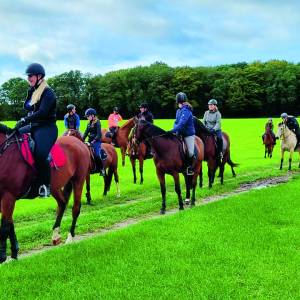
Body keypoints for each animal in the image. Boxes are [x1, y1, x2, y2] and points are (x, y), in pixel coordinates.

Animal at [0, 130, 90, 262]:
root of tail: (77, 141)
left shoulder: (8, 196)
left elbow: (5, 225)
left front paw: (3, 256)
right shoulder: (5, 198)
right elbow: (10, 223)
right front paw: (14, 254)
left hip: (78, 180)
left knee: (75, 209)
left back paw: (70, 238)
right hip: (54, 187)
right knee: (62, 203)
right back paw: (56, 235)